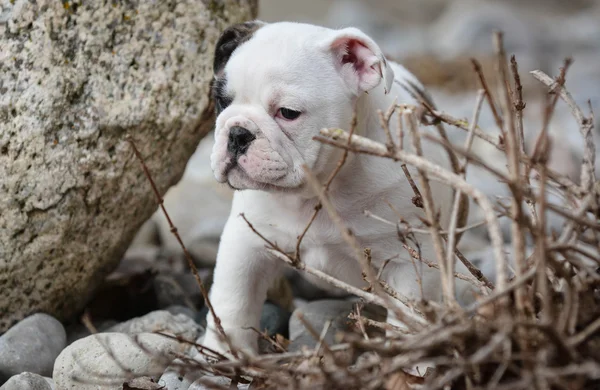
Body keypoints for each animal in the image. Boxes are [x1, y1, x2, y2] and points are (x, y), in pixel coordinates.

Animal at [204, 20, 472, 356]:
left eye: (288, 112)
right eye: (222, 102)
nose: (238, 133)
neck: (320, 188)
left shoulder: (411, 263)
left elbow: (411, 318)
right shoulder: (245, 245)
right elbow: (233, 303)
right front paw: (226, 353)